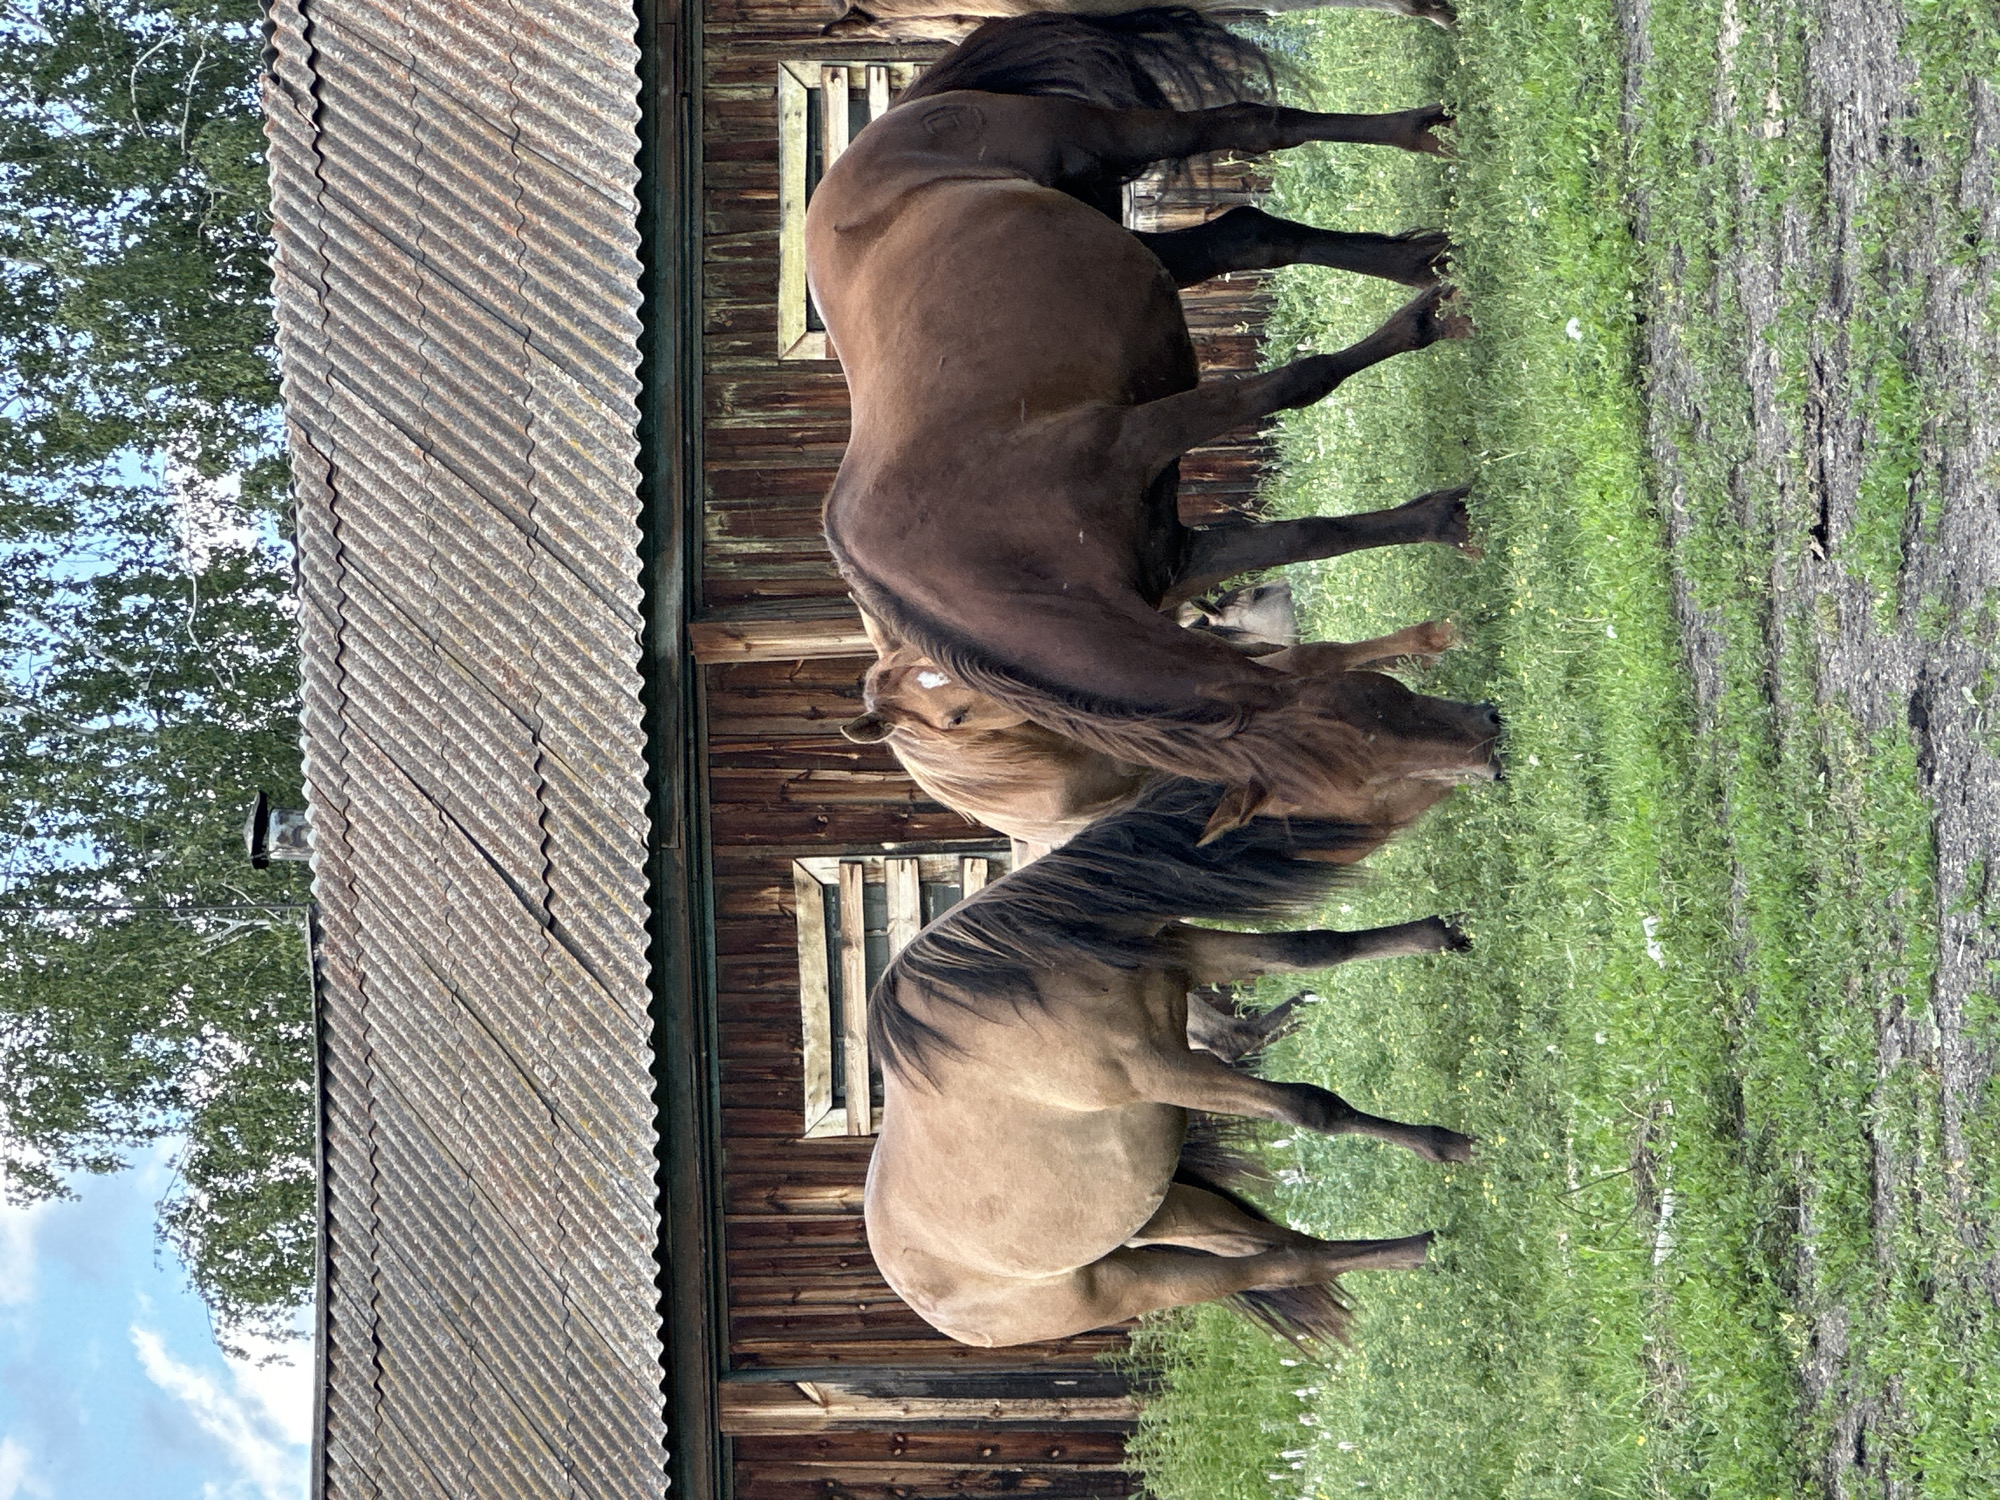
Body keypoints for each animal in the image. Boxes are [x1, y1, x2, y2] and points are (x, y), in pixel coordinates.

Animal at [807, 10, 1501, 845]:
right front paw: (1450, 518)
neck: (990, 556)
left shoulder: (1144, 438)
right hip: (1135, 233)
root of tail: (891, 123)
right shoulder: (1178, 559)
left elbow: (1300, 382)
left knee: (1250, 125)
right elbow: (1318, 535)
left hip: (1105, 139)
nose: (1493, 749)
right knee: (1250, 233)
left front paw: (1426, 324)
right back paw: (1421, 257)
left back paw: (1422, 137)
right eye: (1370, 730)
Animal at [862, 777, 1475, 1347]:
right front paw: (1445, 1145)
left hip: (1169, 1211)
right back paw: (1424, 1247)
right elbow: (1312, 1108)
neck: (1029, 984)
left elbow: (1315, 947)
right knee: (1281, 1263)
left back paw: (1420, 1251)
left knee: (1279, 1244)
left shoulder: (1186, 954)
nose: (1486, 749)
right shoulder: (1167, 1072)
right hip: (1139, 1281)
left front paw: (1440, 934)